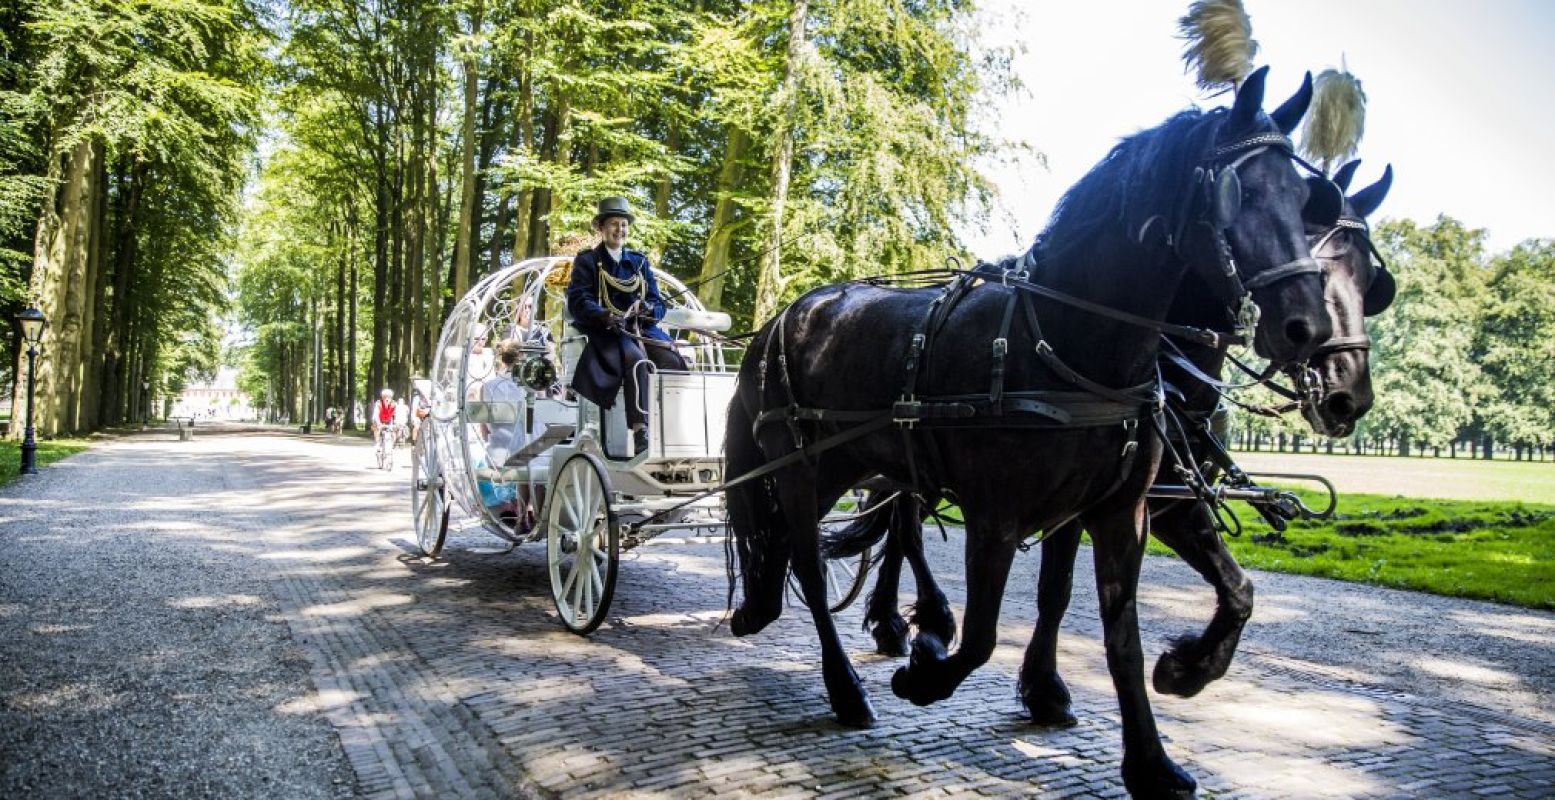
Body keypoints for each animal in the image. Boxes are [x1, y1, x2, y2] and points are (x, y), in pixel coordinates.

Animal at [727, 70, 1324, 796]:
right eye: (1242, 194)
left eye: (1306, 199)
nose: (1306, 326)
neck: (1071, 344)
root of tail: (781, 318)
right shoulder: (997, 514)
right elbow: (984, 636)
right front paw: (926, 674)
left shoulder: (1120, 513)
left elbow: (1124, 634)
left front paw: (1156, 741)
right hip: (800, 466)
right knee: (810, 567)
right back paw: (850, 683)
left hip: (870, 470)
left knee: (821, 542)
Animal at [839, 158, 1399, 725]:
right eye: (1319, 268)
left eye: (1371, 282)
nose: (1349, 395)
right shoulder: (1151, 503)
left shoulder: (1142, 501)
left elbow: (1225, 587)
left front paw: (1177, 669)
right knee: (905, 531)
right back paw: (920, 617)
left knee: (898, 528)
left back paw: (894, 618)